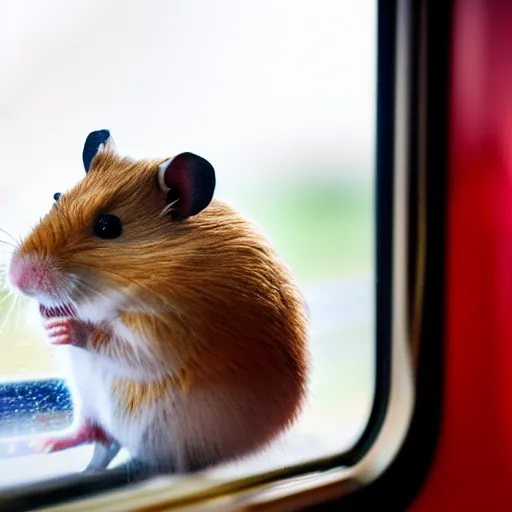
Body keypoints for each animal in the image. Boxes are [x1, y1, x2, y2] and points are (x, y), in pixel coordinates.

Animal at [9, 130, 308, 474]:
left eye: (107, 226)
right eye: (57, 196)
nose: (16, 278)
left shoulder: (163, 334)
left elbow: (115, 342)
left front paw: (66, 329)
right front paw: (48, 317)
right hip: (85, 395)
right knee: (92, 433)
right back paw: (41, 444)